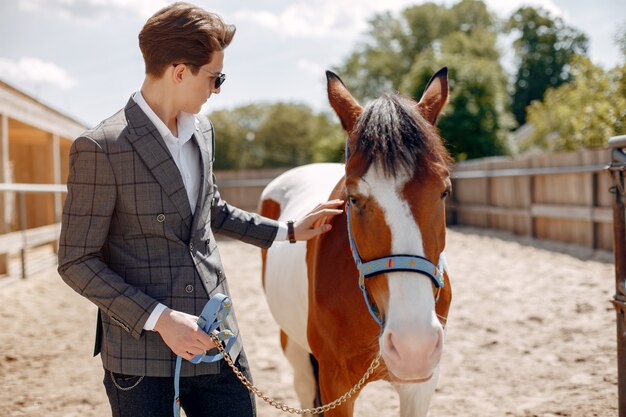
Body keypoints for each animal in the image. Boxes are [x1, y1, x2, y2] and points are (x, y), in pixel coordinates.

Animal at [260, 66, 454, 414]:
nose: (413, 346)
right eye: (353, 199)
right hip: (293, 348)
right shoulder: (335, 384)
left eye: (444, 190)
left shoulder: (420, 385)